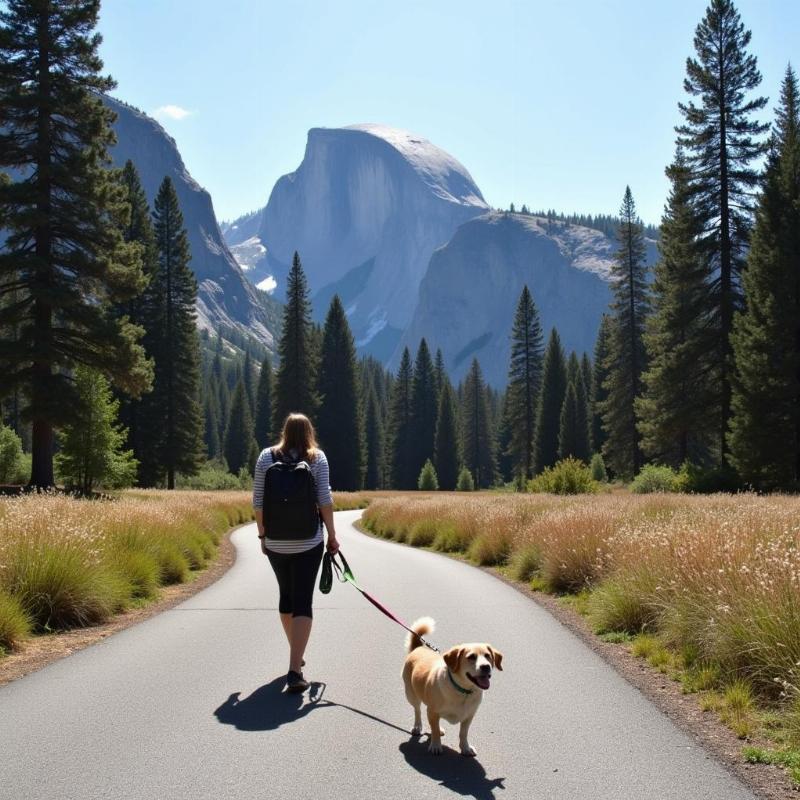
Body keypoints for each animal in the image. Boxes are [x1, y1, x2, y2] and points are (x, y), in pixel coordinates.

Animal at [404, 620, 504, 756]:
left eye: (488, 656)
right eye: (471, 657)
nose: (486, 666)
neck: (463, 691)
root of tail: (418, 647)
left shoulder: (469, 716)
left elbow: (463, 733)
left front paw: (465, 747)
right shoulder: (433, 711)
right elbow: (434, 730)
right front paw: (436, 745)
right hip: (411, 695)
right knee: (418, 710)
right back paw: (417, 726)